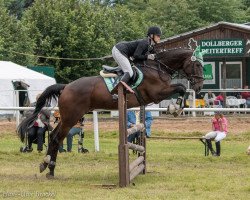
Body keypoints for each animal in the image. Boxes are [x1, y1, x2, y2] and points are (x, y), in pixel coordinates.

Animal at [17, 47, 205, 179]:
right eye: (197, 64)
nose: (199, 87)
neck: (157, 68)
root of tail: (66, 87)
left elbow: (181, 89)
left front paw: (177, 107)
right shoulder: (157, 93)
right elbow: (181, 88)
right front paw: (175, 108)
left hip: (68, 118)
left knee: (53, 135)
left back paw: (48, 168)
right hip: (71, 117)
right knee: (56, 138)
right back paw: (47, 165)